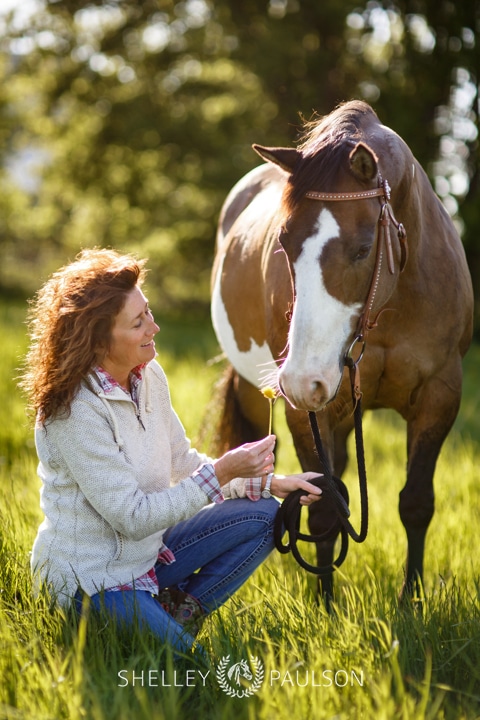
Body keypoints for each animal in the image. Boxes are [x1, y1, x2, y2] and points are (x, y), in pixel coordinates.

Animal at [212, 98, 474, 600]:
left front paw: (410, 600)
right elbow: (324, 509)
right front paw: (326, 604)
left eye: (364, 247)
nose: (302, 379)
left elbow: (416, 503)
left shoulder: (440, 396)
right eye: (283, 242)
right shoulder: (305, 411)